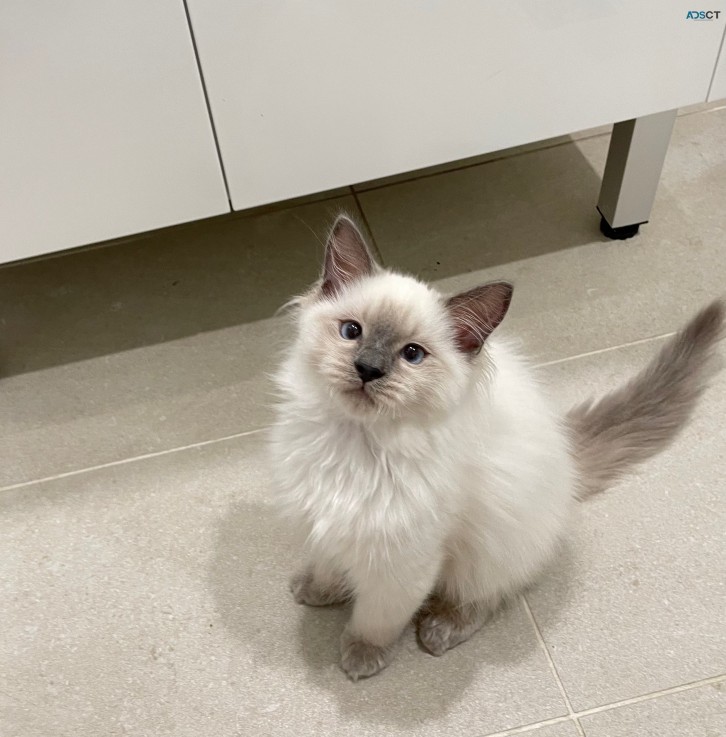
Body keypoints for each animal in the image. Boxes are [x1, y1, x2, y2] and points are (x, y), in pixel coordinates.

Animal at [270, 214, 724, 680]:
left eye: (412, 354)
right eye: (351, 331)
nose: (367, 369)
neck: (355, 444)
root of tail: (567, 449)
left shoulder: (404, 559)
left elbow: (376, 617)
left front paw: (362, 655)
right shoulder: (323, 518)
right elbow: (329, 565)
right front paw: (317, 590)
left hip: (490, 549)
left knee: (487, 597)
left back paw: (439, 630)